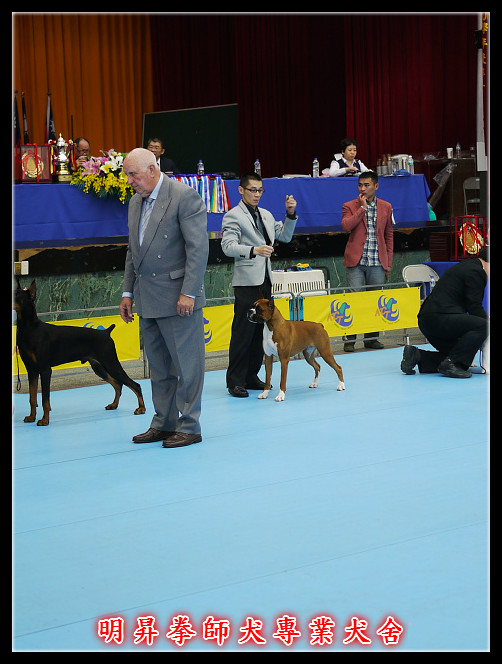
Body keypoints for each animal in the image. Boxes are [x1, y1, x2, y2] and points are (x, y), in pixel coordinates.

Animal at [14, 279, 146, 426]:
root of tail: (106, 332)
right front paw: (31, 417)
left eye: (17, 294)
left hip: (111, 363)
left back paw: (141, 408)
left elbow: (45, 399)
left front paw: (45, 420)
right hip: (98, 367)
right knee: (118, 384)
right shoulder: (31, 370)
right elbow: (32, 398)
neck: (29, 328)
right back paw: (113, 405)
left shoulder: (45, 370)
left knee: (135, 385)